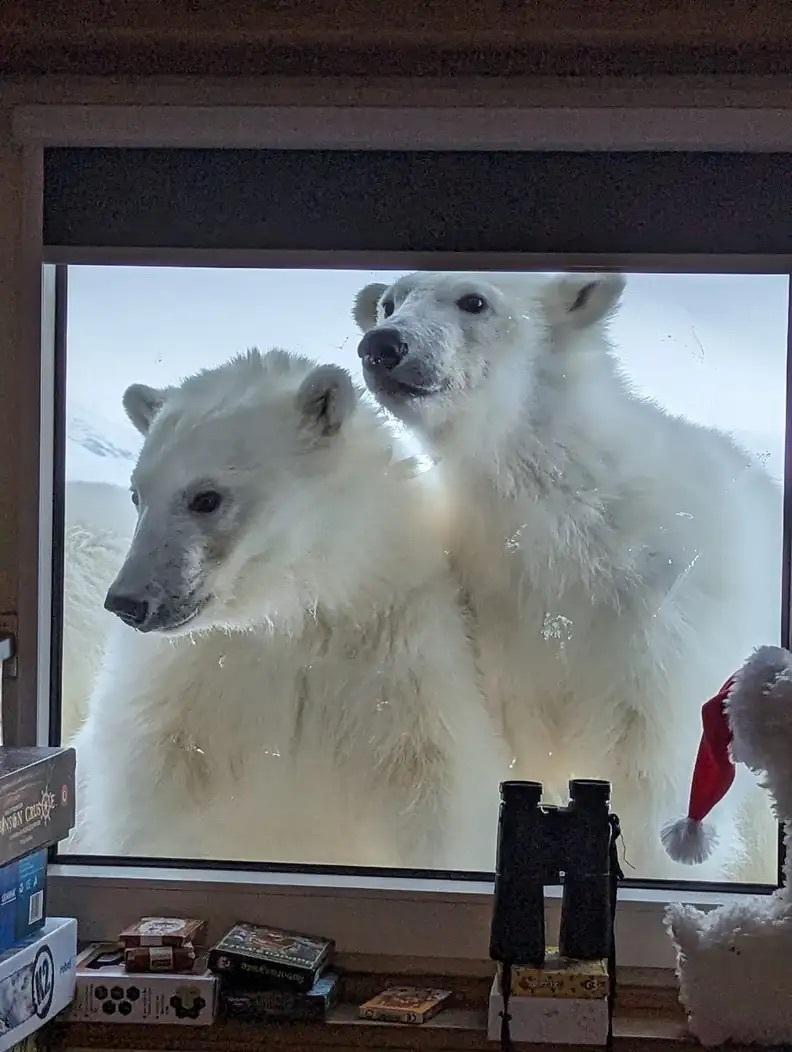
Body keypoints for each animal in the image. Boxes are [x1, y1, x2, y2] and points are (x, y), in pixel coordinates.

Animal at [70, 349, 509, 866]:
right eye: (138, 494)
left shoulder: (396, 664)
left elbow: (439, 793)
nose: (128, 600)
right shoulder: (182, 693)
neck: (290, 619)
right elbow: (141, 805)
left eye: (206, 497)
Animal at [355, 271, 782, 879]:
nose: (383, 346)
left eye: (473, 300)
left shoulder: (659, 628)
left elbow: (656, 773)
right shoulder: (502, 621)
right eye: (389, 302)